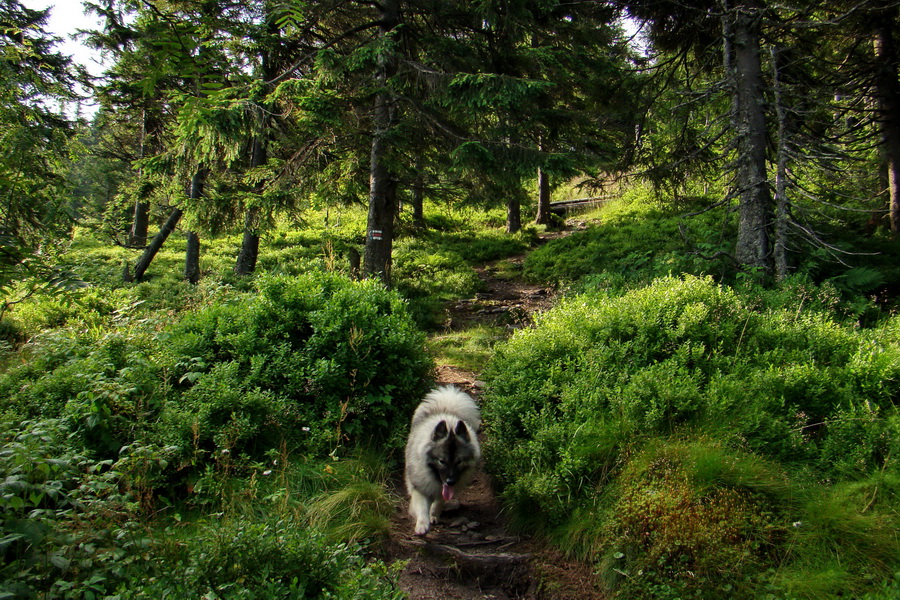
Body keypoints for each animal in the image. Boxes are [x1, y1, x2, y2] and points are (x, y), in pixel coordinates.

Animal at [404, 386, 482, 536]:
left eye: (459, 461)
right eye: (442, 461)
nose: (450, 481)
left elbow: (439, 502)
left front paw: (433, 514)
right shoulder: (420, 486)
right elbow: (422, 507)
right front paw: (422, 525)